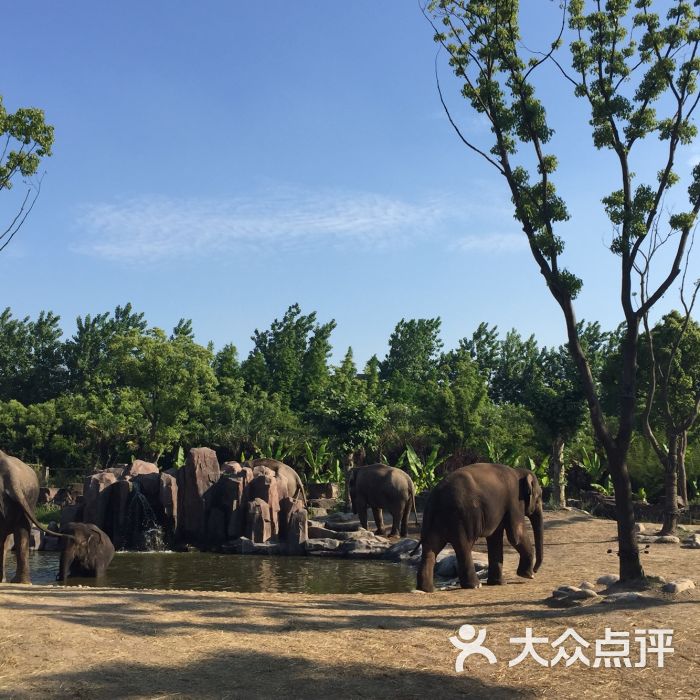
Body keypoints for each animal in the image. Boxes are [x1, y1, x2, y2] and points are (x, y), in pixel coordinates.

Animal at [412, 462, 544, 592]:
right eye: (539, 497)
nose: (535, 570)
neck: (518, 472)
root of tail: (435, 497)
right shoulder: (514, 501)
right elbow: (516, 535)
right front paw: (528, 575)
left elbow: (495, 538)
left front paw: (499, 583)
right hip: (462, 518)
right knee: (464, 546)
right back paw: (475, 585)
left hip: (433, 520)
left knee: (431, 547)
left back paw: (427, 589)